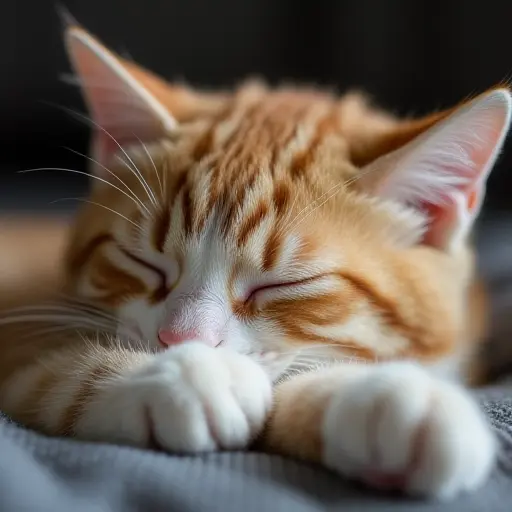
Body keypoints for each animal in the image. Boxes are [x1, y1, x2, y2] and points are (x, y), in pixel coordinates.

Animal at [0, 21, 508, 500]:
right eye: (143, 262)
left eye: (282, 284)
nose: (182, 340)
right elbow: (59, 370)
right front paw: (188, 376)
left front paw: (390, 396)